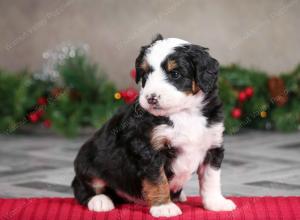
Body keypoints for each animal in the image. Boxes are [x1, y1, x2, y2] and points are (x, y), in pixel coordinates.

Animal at [71, 35, 236, 217]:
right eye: (145, 74)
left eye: (175, 74)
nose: (151, 98)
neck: (184, 113)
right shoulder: (148, 149)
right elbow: (158, 180)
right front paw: (163, 207)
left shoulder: (212, 146)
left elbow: (210, 179)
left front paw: (216, 203)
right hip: (87, 161)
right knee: (82, 187)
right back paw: (99, 201)